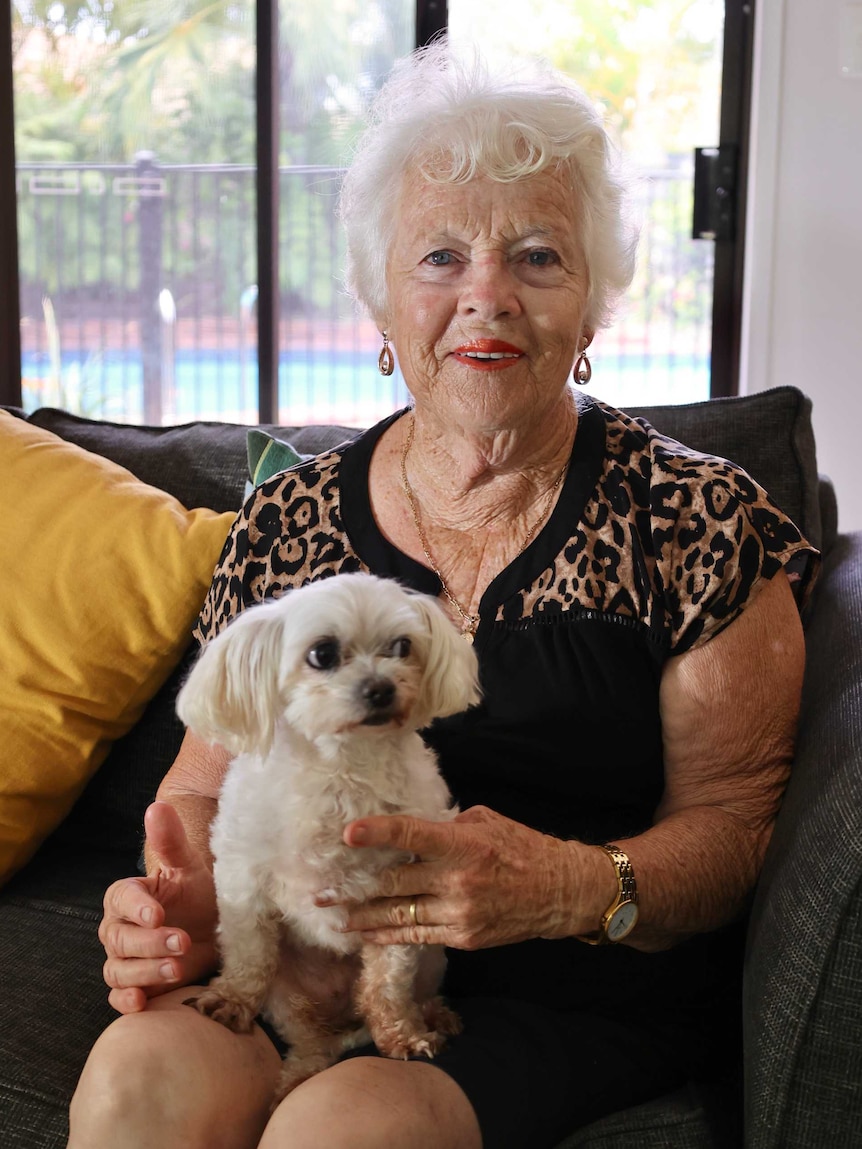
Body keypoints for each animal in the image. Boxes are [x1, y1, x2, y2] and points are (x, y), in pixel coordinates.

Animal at [173, 569, 480, 1098]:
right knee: (308, 1039)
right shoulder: (242, 879)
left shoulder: (400, 898)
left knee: (409, 991)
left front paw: (402, 1036)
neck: (343, 769)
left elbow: (388, 982)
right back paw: (296, 1077)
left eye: (402, 646)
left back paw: (432, 1016)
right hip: (288, 996)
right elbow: (248, 952)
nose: (381, 689)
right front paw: (231, 999)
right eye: (322, 654)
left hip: (434, 958)